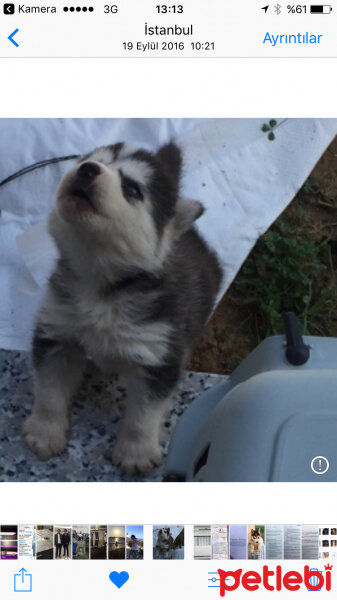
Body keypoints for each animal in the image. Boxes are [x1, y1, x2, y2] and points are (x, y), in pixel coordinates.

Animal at [24, 141, 223, 474]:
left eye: (131, 188)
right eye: (90, 160)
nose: (87, 169)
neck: (100, 283)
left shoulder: (159, 354)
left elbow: (144, 413)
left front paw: (136, 452)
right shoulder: (57, 332)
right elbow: (49, 391)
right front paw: (44, 431)